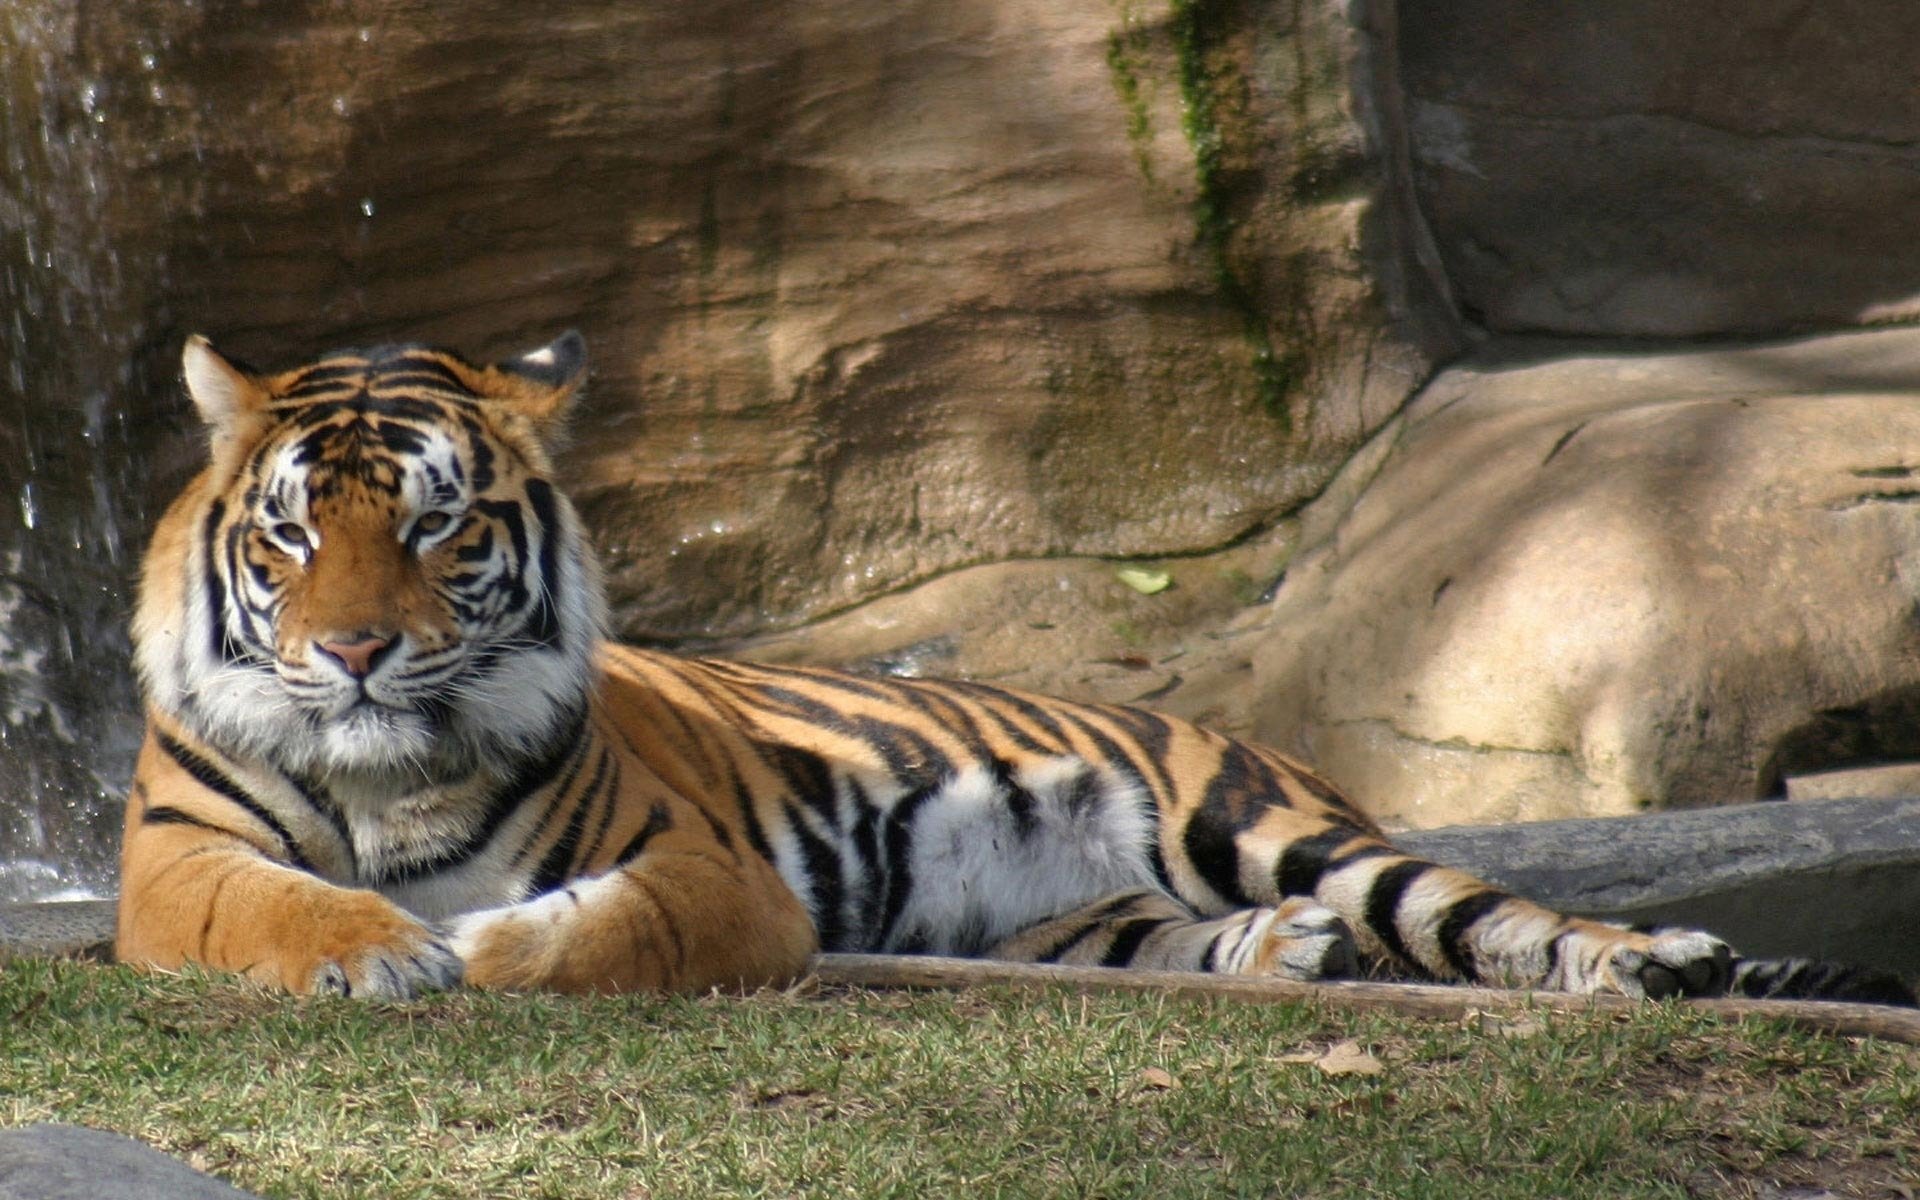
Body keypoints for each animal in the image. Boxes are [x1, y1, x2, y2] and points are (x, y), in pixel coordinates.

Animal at [114, 332, 1914, 1006]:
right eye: (291, 535)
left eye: (434, 526)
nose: (353, 651)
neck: (390, 769)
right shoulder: (172, 864)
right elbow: (275, 908)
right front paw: (378, 951)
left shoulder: (695, 870)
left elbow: (588, 927)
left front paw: (477, 945)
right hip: (1083, 916)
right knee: (1209, 939)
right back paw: (1289, 956)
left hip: (1265, 820)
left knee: (1492, 915)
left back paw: (1650, 961)